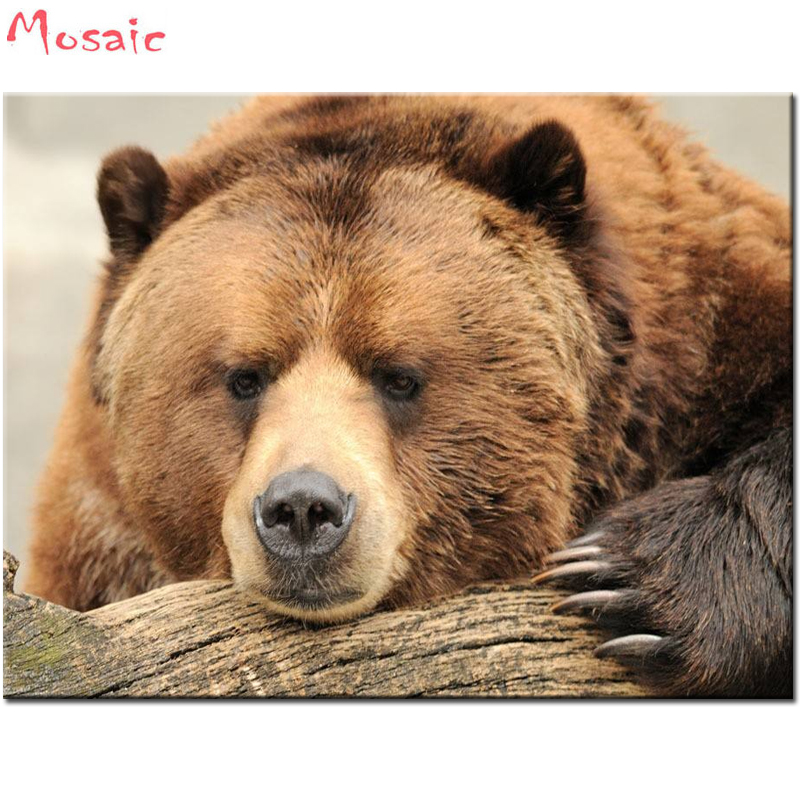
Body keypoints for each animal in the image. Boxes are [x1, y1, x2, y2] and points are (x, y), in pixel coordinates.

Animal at [25, 95, 791, 698]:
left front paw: (626, 583)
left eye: (398, 375)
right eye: (244, 376)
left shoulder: (709, 325)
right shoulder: (94, 535)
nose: (302, 509)